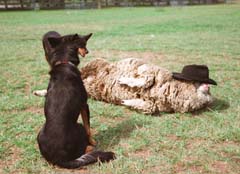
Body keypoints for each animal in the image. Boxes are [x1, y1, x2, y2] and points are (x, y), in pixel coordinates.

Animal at [37, 33, 115, 169]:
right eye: (83, 44)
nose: (88, 51)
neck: (64, 61)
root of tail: (60, 159)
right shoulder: (84, 105)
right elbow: (88, 127)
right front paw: (93, 141)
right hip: (78, 126)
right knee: (85, 148)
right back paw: (91, 148)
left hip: (39, 133)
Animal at [80, 57, 214, 113]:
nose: (208, 87)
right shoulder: (150, 70)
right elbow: (147, 79)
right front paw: (124, 80)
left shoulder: (154, 105)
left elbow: (149, 108)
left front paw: (126, 101)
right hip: (95, 63)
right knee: (82, 70)